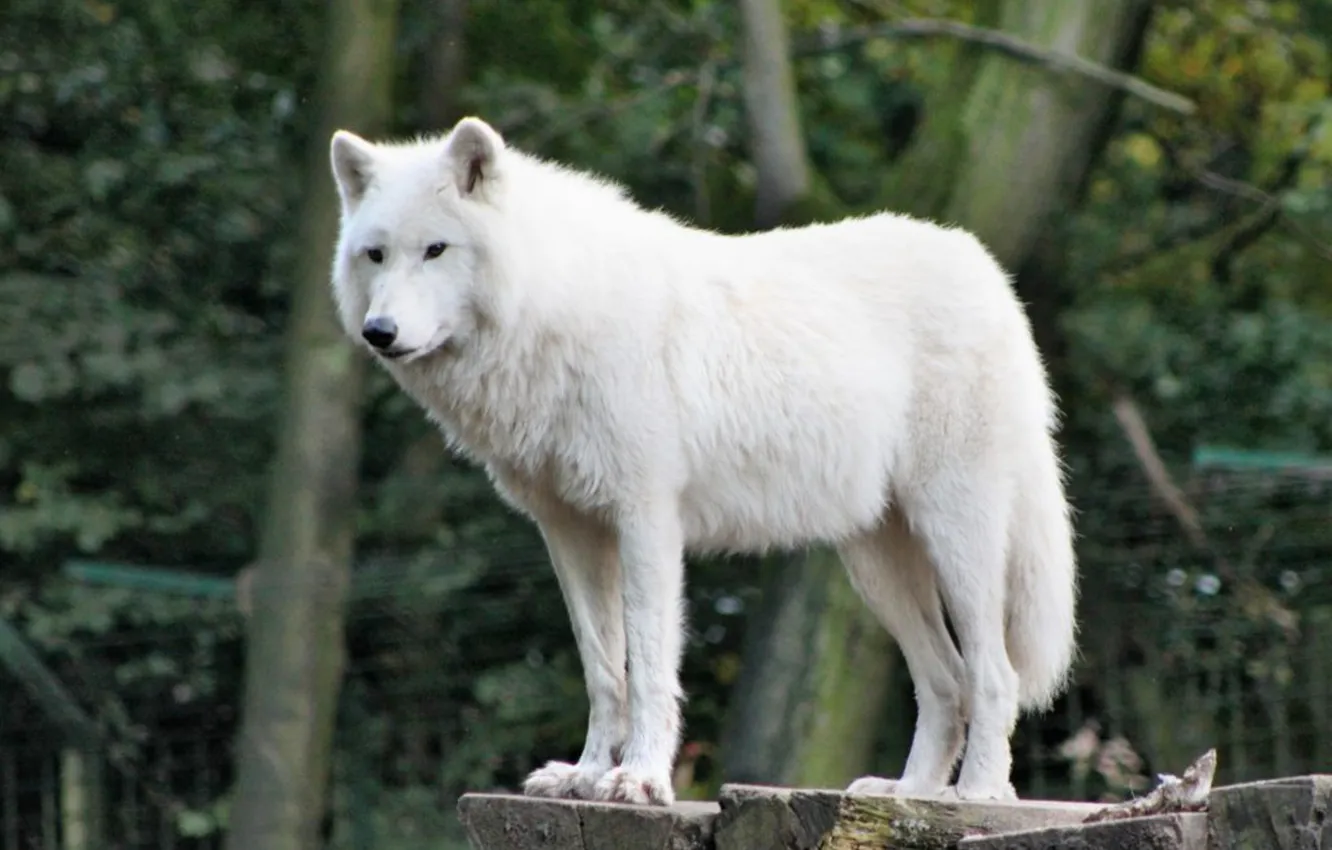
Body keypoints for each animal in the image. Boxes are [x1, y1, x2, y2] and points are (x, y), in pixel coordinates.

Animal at [327, 116, 1077, 807]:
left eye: (435, 249)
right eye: (375, 255)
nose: (379, 332)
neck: (555, 308)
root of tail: (987, 271)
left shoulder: (646, 520)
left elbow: (650, 664)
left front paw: (639, 779)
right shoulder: (569, 531)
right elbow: (603, 668)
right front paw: (587, 775)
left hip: (956, 539)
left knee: (995, 674)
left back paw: (978, 794)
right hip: (876, 563)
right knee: (946, 681)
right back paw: (907, 793)